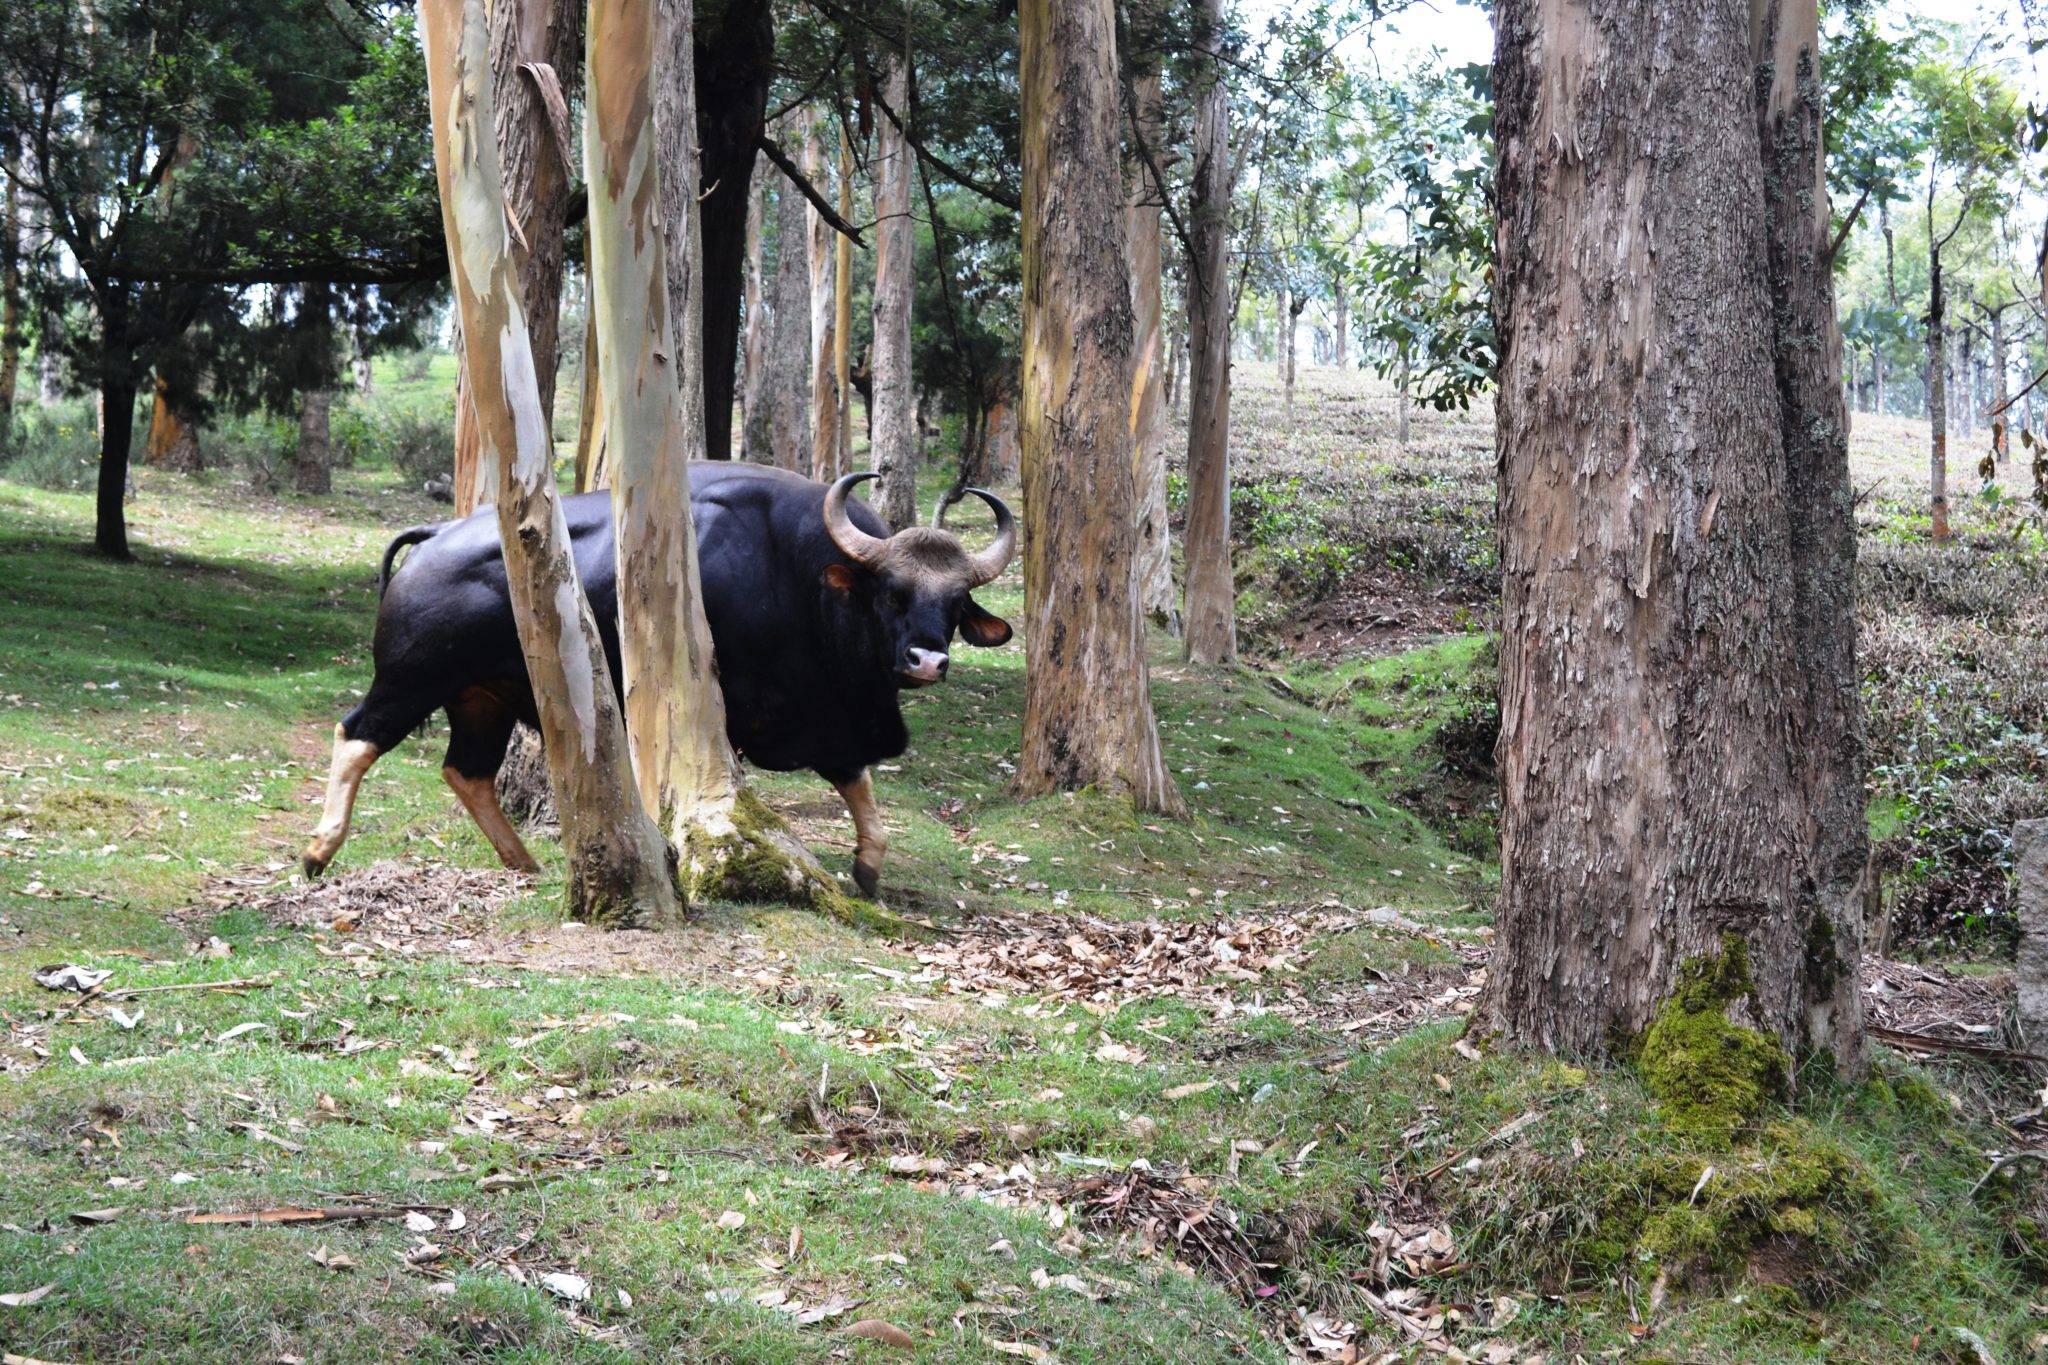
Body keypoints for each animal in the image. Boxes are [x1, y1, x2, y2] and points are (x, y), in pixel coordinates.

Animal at [303, 464, 1016, 894]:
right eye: (893, 592)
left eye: (956, 604)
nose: (927, 661)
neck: (801, 576)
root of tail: (435, 536)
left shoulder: (827, 714)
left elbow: (857, 781)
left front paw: (868, 864)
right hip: (409, 680)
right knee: (356, 736)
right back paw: (318, 851)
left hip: (481, 700)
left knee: (467, 772)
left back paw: (524, 861)